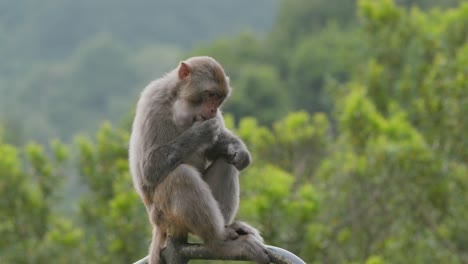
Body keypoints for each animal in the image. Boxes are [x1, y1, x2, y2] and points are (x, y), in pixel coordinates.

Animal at [129, 56, 270, 264]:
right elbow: (149, 168)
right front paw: (199, 133)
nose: (212, 110)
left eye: (219, 99)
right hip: (165, 216)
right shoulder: (153, 102)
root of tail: (158, 225)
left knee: (225, 164)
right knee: (180, 176)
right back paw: (218, 242)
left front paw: (239, 151)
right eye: (210, 94)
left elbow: (216, 150)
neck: (179, 102)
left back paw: (228, 229)